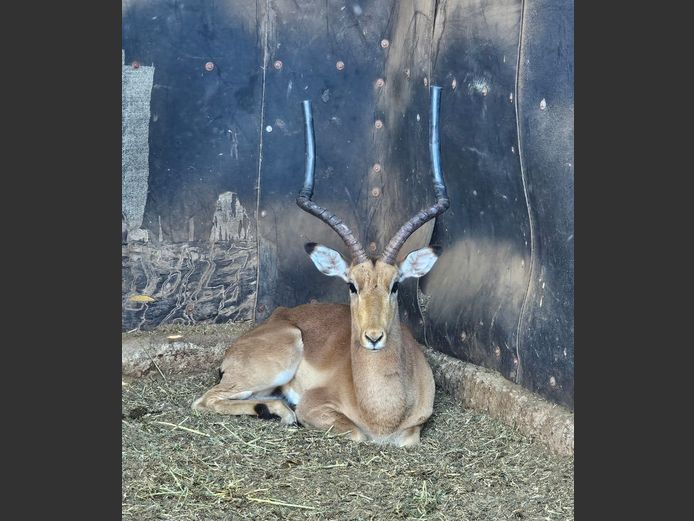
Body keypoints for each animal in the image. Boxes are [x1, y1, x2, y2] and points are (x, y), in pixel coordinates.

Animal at [192, 86, 450, 446]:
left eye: (395, 284)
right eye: (351, 285)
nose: (373, 337)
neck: (383, 414)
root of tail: (278, 316)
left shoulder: (413, 432)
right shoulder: (317, 408)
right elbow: (354, 433)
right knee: (205, 400)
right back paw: (281, 413)